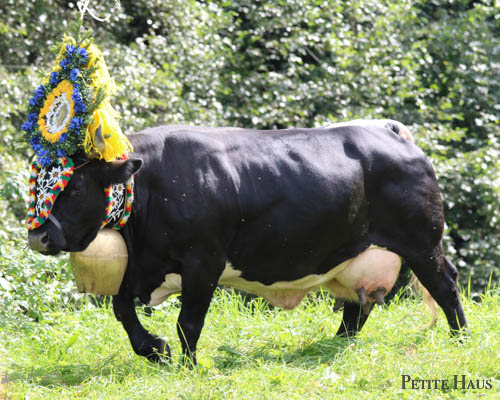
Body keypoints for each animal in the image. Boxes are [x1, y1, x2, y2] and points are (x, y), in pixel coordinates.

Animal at [28, 119, 468, 362]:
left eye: (76, 187)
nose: (38, 236)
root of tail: (389, 131)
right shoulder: (142, 265)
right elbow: (122, 308)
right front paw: (154, 350)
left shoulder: (203, 260)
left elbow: (189, 321)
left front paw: (186, 366)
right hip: (357, 255)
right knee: (357, 308)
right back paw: (328, 348)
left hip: (422, 241)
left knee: (445, 285)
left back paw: (460, 339)